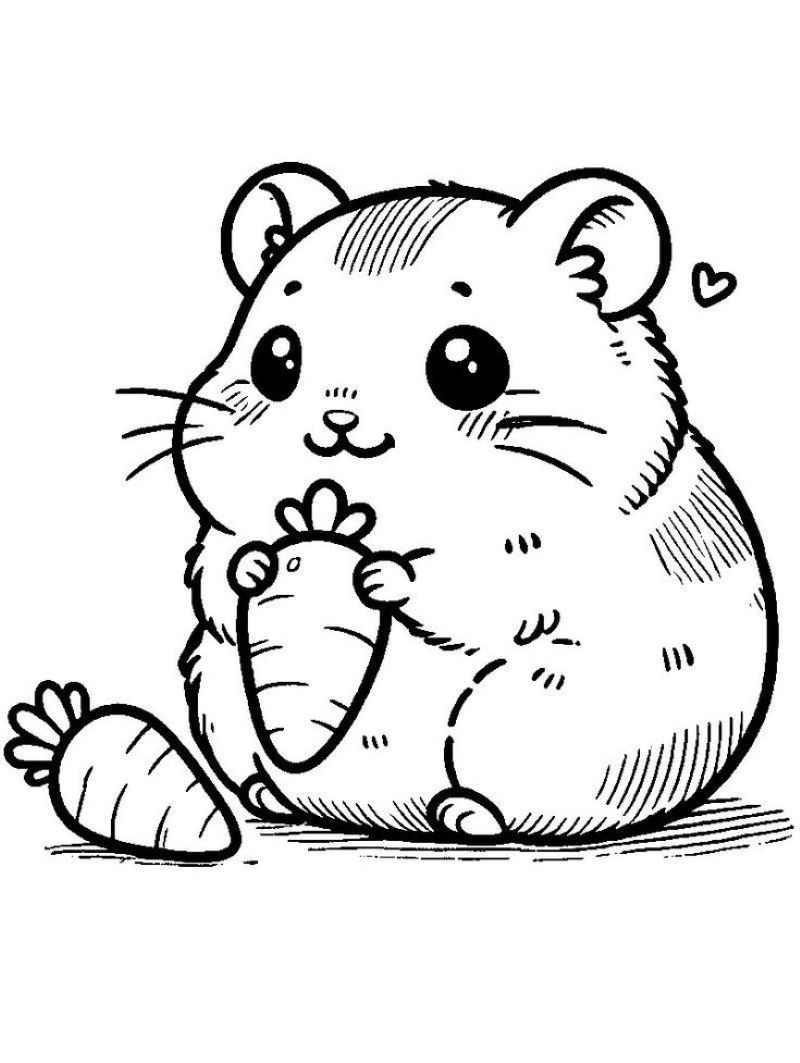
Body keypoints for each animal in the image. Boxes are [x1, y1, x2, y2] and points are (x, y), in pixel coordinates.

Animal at [175, 163, 776, 843]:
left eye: (467, 364)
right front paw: (255, 566)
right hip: (218, 692)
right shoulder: (223, 532)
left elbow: (480, 588)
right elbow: (219, 561)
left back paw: (465, 816)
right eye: (274, 357)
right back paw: (269, 794)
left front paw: (383, 577)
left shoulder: (545, 557)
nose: (338, 427)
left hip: (526, 720)